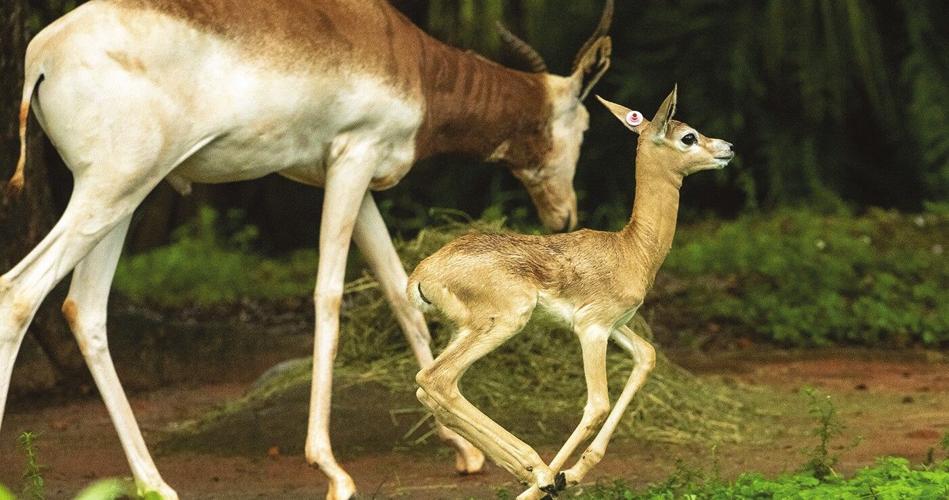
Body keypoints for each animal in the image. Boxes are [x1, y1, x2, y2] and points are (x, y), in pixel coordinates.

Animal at [0, 0, 614, 498]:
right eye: (583, 126)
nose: (565, 215)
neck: (406, 56)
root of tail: (39, 56)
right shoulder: (352, 159)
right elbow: (328, 296)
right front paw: (333, 470)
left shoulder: (353, 180)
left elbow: (401, 293)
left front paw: (464, 451)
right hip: (110, 192)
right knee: (19, 293)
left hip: (124, 200)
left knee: (84, 308)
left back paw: (156, 483)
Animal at [408, 87, 735, 499]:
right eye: (688, 136)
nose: (728, 147)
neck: (632, 249)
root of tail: (420, 275)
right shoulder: (591, 329)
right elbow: (597, 405)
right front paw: (556, 478)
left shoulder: (616, 325)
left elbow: (647, 355)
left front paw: (574, 473)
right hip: (506, 321)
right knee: (437, 380)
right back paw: (538, 473)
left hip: (466, 330)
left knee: (430, 390)